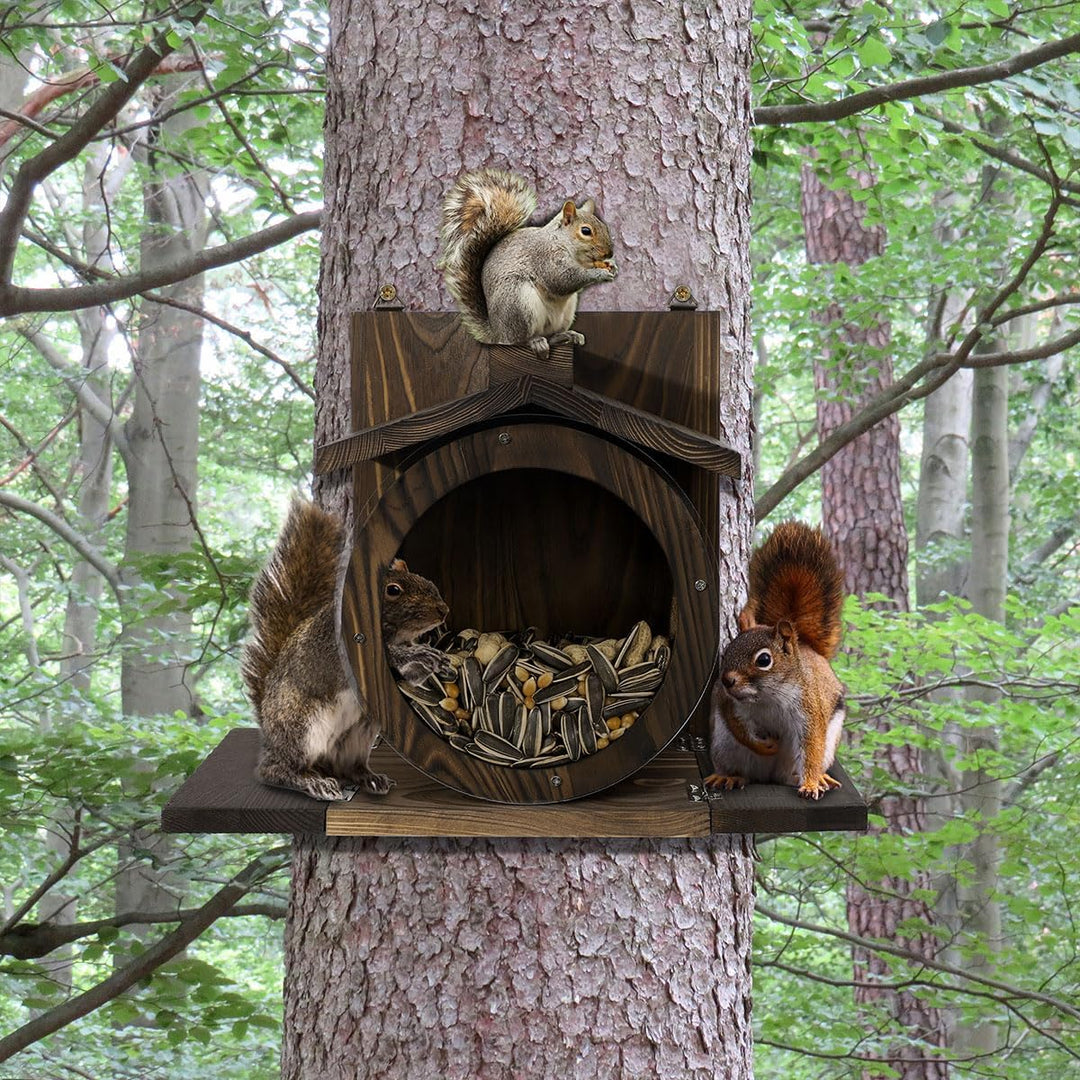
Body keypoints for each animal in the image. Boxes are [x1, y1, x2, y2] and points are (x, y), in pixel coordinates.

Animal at [242, 498, 452, 801]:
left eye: (421, 578)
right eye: (393, 590)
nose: (443, 610)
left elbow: (409, 676)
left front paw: (439, 661)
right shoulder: (345, 651)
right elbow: (390, 657)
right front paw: (420, 654)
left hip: (357, 736)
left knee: (345, 768)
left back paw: (370, 778)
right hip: (299, 727)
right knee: (275, 769)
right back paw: (311, 782)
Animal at [438, 168, 618, 359]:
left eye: (605, 227)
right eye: (585, 231)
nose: (609, 253)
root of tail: (498, 333)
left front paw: (611, 265)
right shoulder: (545, 257)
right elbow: (562, 280)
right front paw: (599, 273)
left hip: (565, 312)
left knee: (551, 335)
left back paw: (566, 335)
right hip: (518, 301)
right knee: (519, 340)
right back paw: (535, 342)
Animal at [706, 520, 847, 801]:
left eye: (763, 660)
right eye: (726, 652)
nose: (726, 681)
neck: (767, 696)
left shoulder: (809, 709)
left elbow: (812, 747)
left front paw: (811, 783)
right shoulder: (729, 704)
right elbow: (738, 727)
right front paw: (766, 746)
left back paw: (816, 778)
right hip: (724, 746)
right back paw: (728, 776)